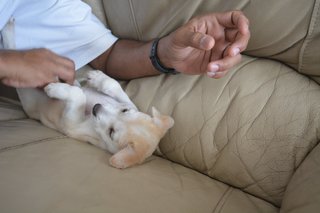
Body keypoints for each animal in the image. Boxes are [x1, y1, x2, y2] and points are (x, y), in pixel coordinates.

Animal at [16, 70, 174, 169]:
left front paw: (55, 89)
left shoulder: (71, 125)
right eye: (124, 110)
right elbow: (113, 86)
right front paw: (98, 77)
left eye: (111, 132)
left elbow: (79, 95)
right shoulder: (127, 103)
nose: (96, 107)